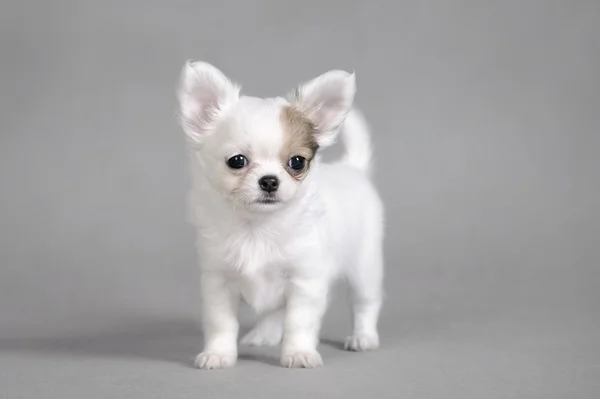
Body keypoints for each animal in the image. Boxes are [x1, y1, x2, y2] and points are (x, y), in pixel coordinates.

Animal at [177, 61, 384, 370]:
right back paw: (265, 334)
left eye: (297, 162)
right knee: (274, 312)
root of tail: (352, 168)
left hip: (364, 265)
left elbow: (299, 322)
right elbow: (221, 323)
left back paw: (363, 337)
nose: (269, 181)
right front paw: (218, 354)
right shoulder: (218, 282)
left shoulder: (305, 281)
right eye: (236, 161)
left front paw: (299, 353)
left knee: (364, 302)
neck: (257, 228)